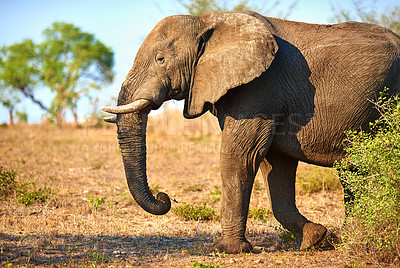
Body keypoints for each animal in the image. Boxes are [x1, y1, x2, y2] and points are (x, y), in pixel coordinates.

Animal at [100, 10, 400, 253]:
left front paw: (226, 250)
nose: (165, 198)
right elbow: (275, 167)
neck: (207, 21)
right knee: (352, 170)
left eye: (161, 59)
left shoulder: (259, 87)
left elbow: (240, 155)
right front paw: (315, 239)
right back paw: (350, 237)